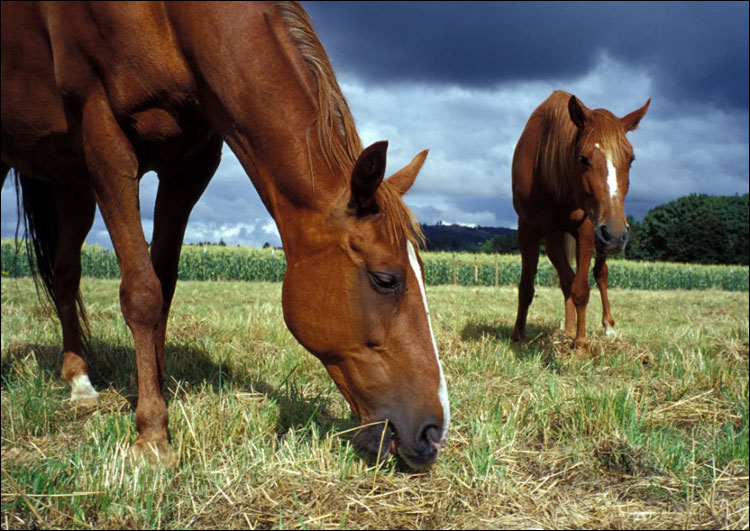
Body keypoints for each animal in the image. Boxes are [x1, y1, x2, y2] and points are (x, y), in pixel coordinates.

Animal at [0, 1, 450, 470]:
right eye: (385, 279)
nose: (434, 432)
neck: (172, 21)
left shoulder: (190, 165)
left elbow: (163, 286)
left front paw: (157, 388)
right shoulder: (105, 139)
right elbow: (142, 293)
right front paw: (152, 435)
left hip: (71, 183)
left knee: (65, 274)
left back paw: (79, 379)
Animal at [512, 90, 652, 352]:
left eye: (631, 159)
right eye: (582, 158)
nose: (616, 235)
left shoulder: (587, 231)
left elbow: (581, 289)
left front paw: (581, 345)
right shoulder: (527, 229)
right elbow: (527, 287)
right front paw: (518, 336)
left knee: (600, 273)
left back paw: (607, 327)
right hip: (561, 238)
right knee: (566, 279)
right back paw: (567, 330)